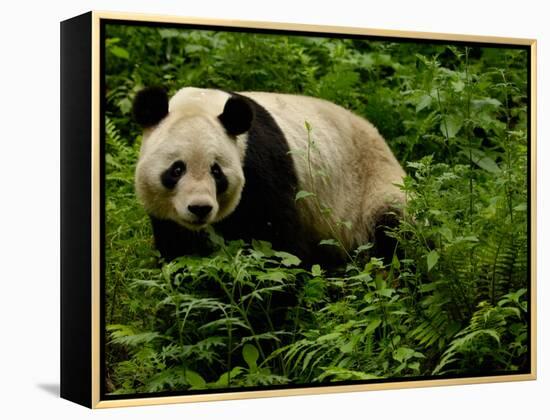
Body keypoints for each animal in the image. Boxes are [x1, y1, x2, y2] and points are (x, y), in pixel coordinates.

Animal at [132, 86, 404, 264]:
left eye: (216, 171)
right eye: (177, 169)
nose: (200, 208)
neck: (199, 103)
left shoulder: (261, 167)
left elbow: (277, 245)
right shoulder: (168, 217)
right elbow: (178, 250)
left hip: (372, 186)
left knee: (391, 230)